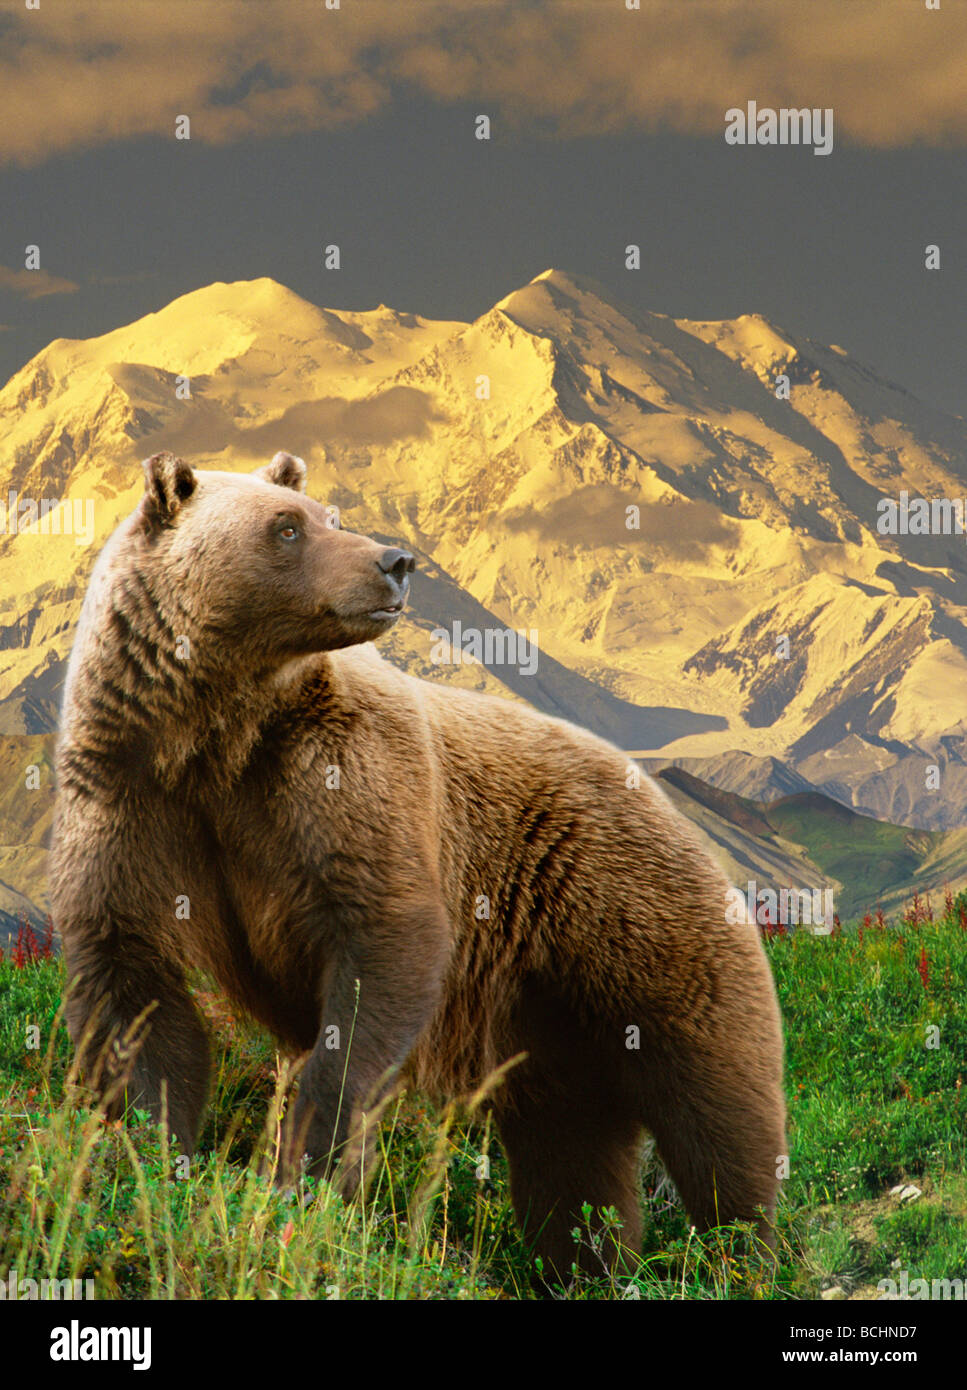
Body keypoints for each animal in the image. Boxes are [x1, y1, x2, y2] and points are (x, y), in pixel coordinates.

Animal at [51, 450, 783, 1273]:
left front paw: (308, 1170)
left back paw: (744, 1251)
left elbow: (382, 946)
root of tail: (663, 795)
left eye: (326, 514)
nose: (394, 561)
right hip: (550, 1016)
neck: (217, 731)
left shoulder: (340, 779)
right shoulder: (130, 793)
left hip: (635, 919)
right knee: (572, 1151)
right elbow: (132, 986)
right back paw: (586, 1264)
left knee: (716, 1106)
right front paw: (151, 1157)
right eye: (286, 527)